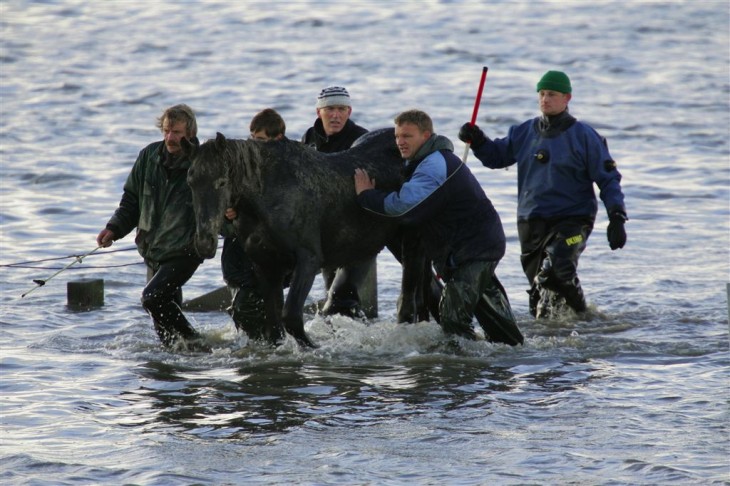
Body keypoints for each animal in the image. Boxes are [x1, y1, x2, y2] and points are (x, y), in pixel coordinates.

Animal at [182, 128, 430, 350]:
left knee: (409, 299)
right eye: (190, 181)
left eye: (222, 182)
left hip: (412, 242)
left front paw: (314, 346)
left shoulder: (308, 260)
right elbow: (273, 321)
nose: (205, 243)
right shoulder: (265, 264)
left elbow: (290, 316)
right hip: (395, 242)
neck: (267, 197)